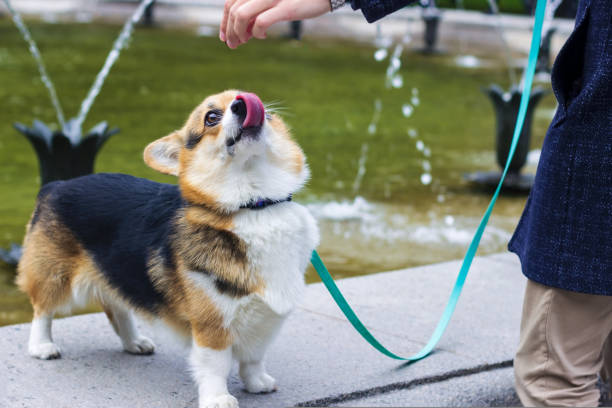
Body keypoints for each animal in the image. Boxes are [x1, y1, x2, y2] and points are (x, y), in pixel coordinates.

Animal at [16, 90, 318, 408]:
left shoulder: (265, 319)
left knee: (118, 306)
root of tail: (56, 185)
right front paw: (218, 398)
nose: (243, 103)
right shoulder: (210, 325)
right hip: (54, 276)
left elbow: (254, 357)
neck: (256, 205)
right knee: (43, 310)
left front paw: (257, 383)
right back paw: (42, 345)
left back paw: (134, 342)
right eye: (211, 117)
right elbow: (216, 365)